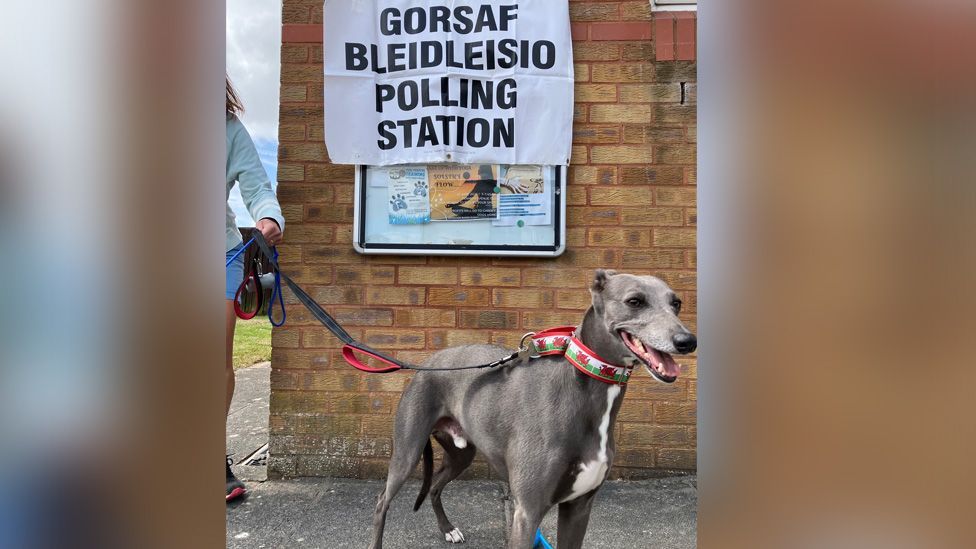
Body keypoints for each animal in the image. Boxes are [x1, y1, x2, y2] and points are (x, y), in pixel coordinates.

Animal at [366, 270, 692, 548]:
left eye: (676, 303)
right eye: (634, 301)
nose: (687, 341)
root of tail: (426, 365)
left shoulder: (578, 507)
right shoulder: (527, 513)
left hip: (462, 453)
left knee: (434, 486)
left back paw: (449, 530)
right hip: (408, 449)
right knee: (382, 500)